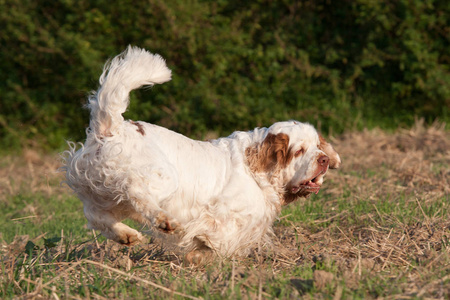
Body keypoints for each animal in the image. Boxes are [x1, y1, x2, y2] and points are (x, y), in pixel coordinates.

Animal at [61, 45, 340, 264]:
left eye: (318, 146)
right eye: (298, 151)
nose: (325, 160)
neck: (256, 172)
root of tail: (110, 128)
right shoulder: (222, 217)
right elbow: (215, 240)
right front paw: (199, 256)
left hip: (100, 191)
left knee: (95, 216)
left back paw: (126, 235)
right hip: (160, 178)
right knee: (137, 192)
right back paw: (164, 221)